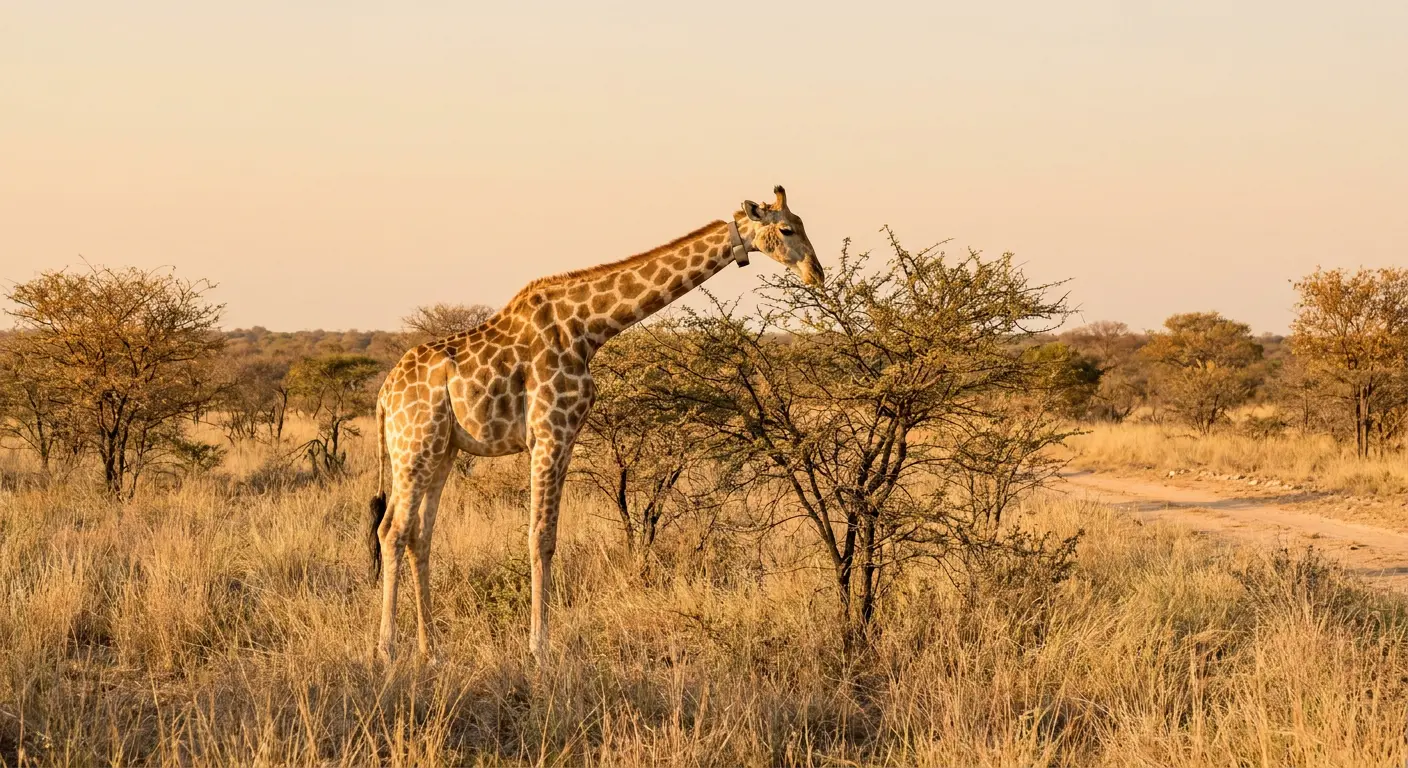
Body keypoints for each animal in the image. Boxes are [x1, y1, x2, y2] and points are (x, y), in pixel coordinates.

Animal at [368, 186, 822, 664]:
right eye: (786, 229)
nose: (817, 272)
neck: (589, 328)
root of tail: (384, 396)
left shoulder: (566, 437)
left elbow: (547, 536)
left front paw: (538, 645)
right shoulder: (549, 433)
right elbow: (541, 537)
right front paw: (540, 650)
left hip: (441, 450)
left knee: (419, 535)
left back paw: (431, 650)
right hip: (414, 448)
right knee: (392, 531)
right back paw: (386, 650)